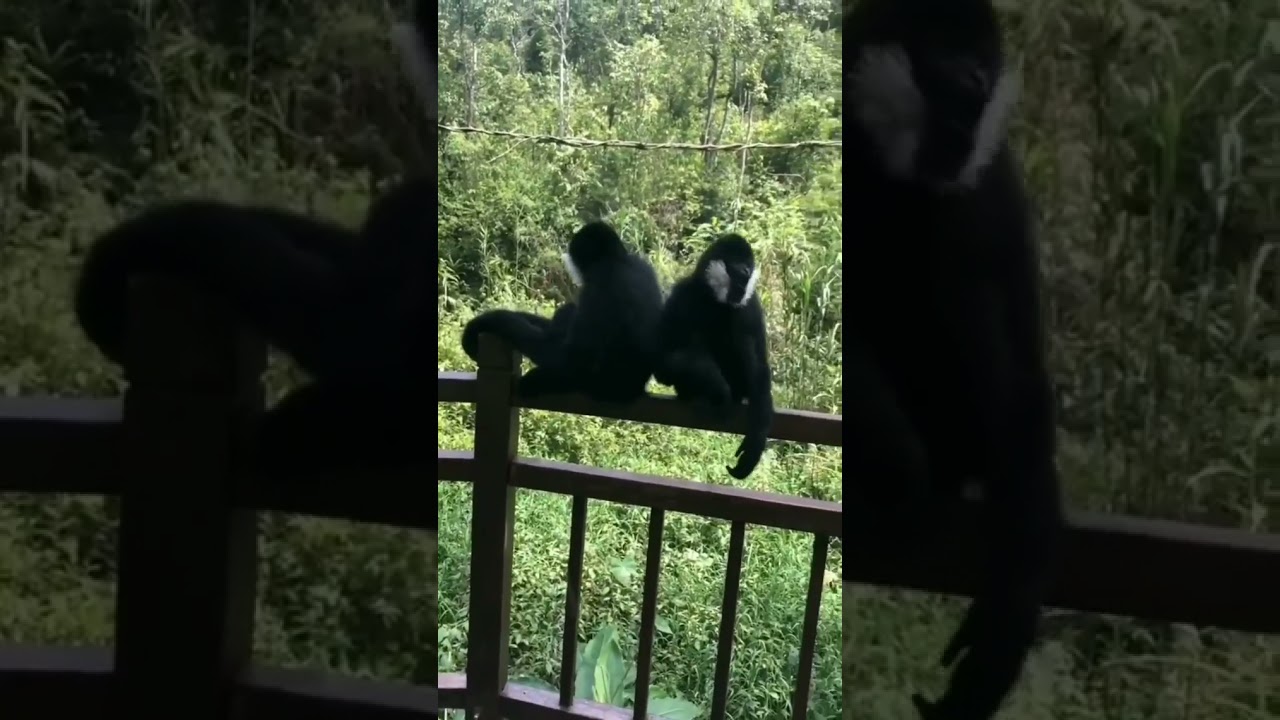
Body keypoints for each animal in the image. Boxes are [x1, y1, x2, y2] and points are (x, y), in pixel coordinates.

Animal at [460, 221, 665, 404]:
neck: (619, 260)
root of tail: (633, 389)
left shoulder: (596, 285)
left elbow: (570, 361)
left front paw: (484, 322)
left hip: (595, 383)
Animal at [652, 233, 774, 480]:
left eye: (748, 269)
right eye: (739, 269)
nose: (747, 273)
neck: (712, 299)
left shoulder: (751, 303)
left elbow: (760, 364)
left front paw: (757, 440)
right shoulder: (681, 294)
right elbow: (662, 365)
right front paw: (717, 386)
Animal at [842, 0, 1064, 718]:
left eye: (981, 89)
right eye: (953, 86)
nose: (966, 132)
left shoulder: (993, 175)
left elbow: (1022, 357)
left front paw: (1017, 598)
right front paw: (891, 459)